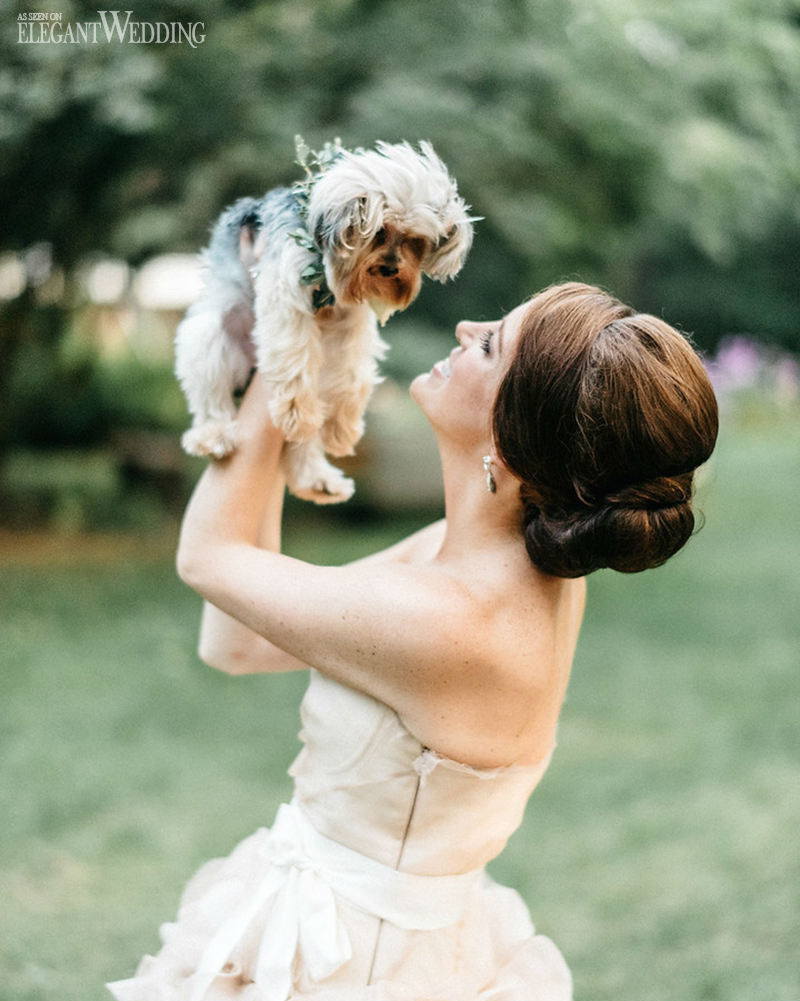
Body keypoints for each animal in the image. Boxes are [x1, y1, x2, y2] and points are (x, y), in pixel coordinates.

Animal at [173, 135, 476, 500]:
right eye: (379, 232)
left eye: (415, 241)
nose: (390, 269)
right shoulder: (286, 296)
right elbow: (294, 356)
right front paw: (295, 414)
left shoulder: (350, 321)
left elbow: (354, 375)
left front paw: (341, 429)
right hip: (209, 335)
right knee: (212, 397)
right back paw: (214, 435)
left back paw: (317, 478)